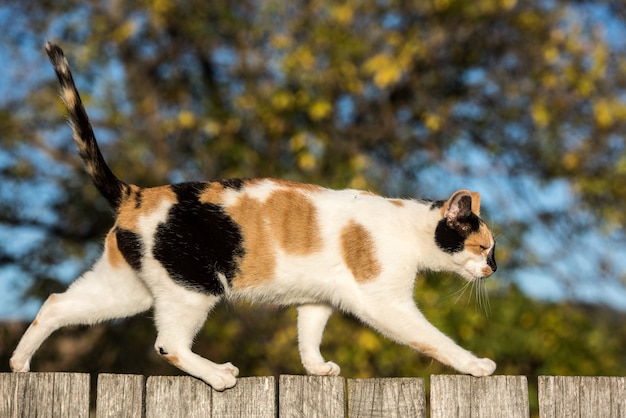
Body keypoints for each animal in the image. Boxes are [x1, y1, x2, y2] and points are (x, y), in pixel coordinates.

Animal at [9, 41, 494, 388]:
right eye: (484, 247)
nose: (492, 270)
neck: (408, 226)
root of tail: (136, 194)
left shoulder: (318, 300)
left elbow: (307, 335)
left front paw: (317, 368)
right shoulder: (385, 302)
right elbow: (433, 339)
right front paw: (474, 364)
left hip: (128, 288)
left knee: (55, 303)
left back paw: (19, 362)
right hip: (194, 288)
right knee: (168, 344)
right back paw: (219, 375)